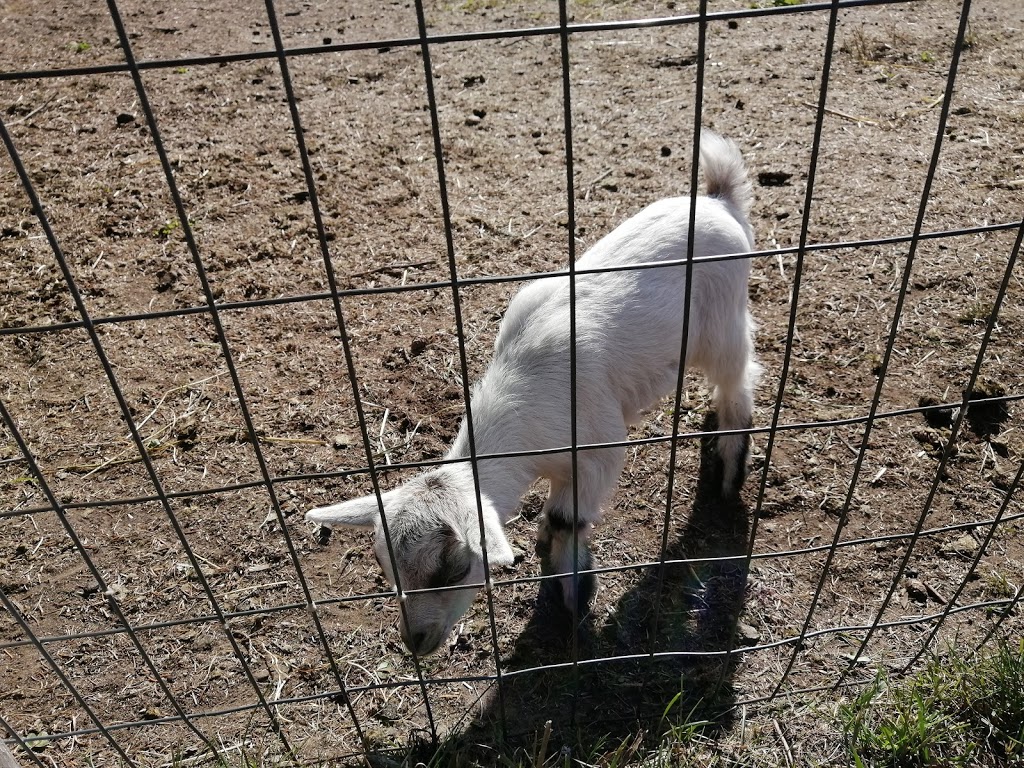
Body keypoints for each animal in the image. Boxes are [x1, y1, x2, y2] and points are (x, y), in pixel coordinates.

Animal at [311, 131, 761, 655]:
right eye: (385, 567)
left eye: (453, 569)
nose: (416, 642)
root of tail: (719, 200)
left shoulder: (599, 449)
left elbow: (569, 519)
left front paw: (573, 591)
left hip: (723, 322)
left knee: (739, 381)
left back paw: (728, 467)